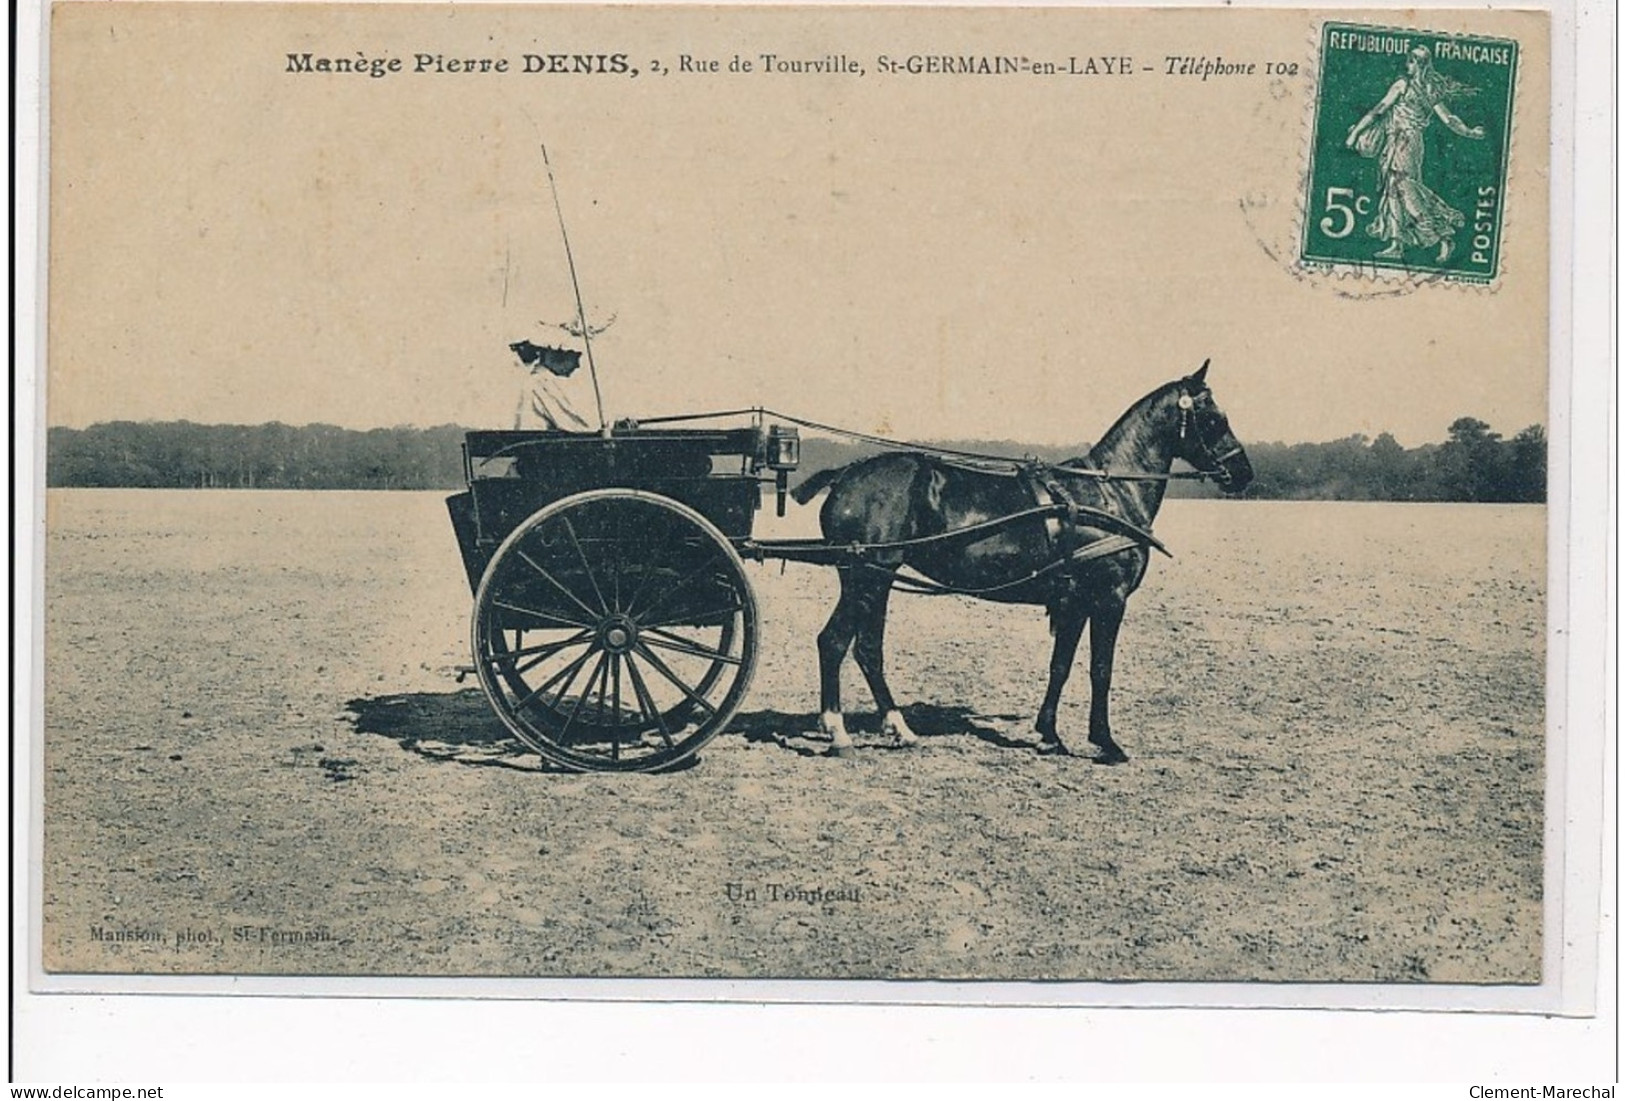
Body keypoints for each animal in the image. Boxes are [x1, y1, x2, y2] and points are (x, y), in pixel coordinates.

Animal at [793, 367, 1248, 763]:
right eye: (1213, 417)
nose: (1243, 472)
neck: (1108, 495)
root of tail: (845, 475)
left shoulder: (1074, 601)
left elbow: (1061, 666)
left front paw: (1049, 734)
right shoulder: (1109, 598)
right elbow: (1100, 669)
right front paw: (1105, 742)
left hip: (874, 579)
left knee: (867, 648)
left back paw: (898, 728)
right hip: (867, 578)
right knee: (836, 642)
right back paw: (839, 732)